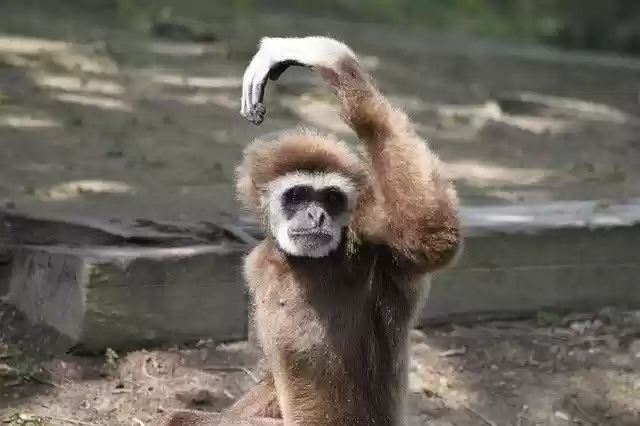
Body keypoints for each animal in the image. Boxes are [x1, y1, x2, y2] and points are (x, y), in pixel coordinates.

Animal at [154, 35, 461, 426]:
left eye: (331, 198)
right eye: (298, 196)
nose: (316, 216)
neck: (306, 263)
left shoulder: (371, 236)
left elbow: (429, 235)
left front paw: (322, 54)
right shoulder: (258, 261)